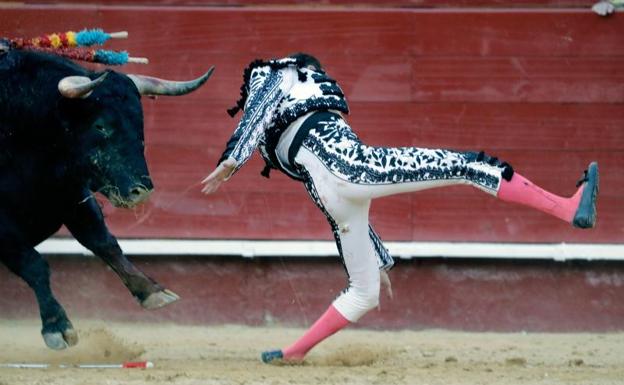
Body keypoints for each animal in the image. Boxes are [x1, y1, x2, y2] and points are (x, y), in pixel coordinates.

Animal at [0, 47, 213, 348]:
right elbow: (34, 264)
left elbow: (104, 242)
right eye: (100, 125)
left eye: (140, 123)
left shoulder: (71, 195)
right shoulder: (4, 227)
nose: (141, 191)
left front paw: (151, 291)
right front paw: (57, 326)